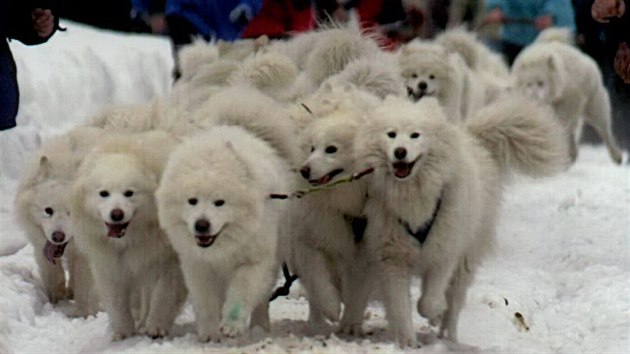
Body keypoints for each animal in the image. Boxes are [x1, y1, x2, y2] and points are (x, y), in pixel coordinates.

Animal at [13, 127, 103, 316]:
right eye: (48, 210)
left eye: (72, 213)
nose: (58, 236)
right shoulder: (41, 243)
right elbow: (53, 275)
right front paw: (57, 300)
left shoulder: (86, 254)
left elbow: (85, 285)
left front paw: (83, 314)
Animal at [71, 131, 188, 340]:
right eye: (103, 193)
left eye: (129, 193)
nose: (116, 214)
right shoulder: (110, 264)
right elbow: (117, 301)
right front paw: (123, 332)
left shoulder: (167, 259)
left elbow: (163, 293)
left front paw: (156, 327)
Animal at [156, 126, 294, 342]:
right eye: (192, 200)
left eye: (219, 202)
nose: (201, 225)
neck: (221, 251)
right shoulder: (198, 266)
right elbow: (205, 302)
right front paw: (209, 333)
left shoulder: (252, 262)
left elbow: (241, 294)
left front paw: (231, 326)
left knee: (262, 299)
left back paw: (259, 327)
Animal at [348, 94, 572, 346]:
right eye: (391, 134)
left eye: (415, 135)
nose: (400, 152)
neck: (414, 195)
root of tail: (472, 137)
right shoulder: (391, 257)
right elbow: (400, 306)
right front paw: (407, 342)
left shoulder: (444, 251)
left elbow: (429, 301)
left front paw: (434, 312)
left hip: (466, 259)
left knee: (454, 303)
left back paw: (448, 334)